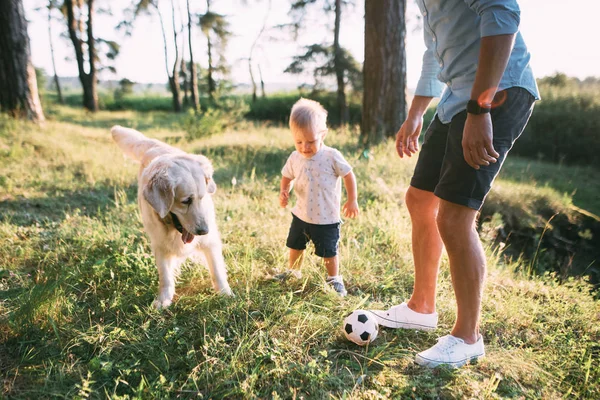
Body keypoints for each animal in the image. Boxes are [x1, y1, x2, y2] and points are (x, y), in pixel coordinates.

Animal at [111, 126, 233, 308]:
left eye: (202, 197)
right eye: (186, 201)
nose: (204, 231)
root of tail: (154, 146)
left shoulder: (210, 242)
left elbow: (217, 270)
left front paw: (225, 294)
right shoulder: (160, 244)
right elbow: (165, 276)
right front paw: (163, 300)